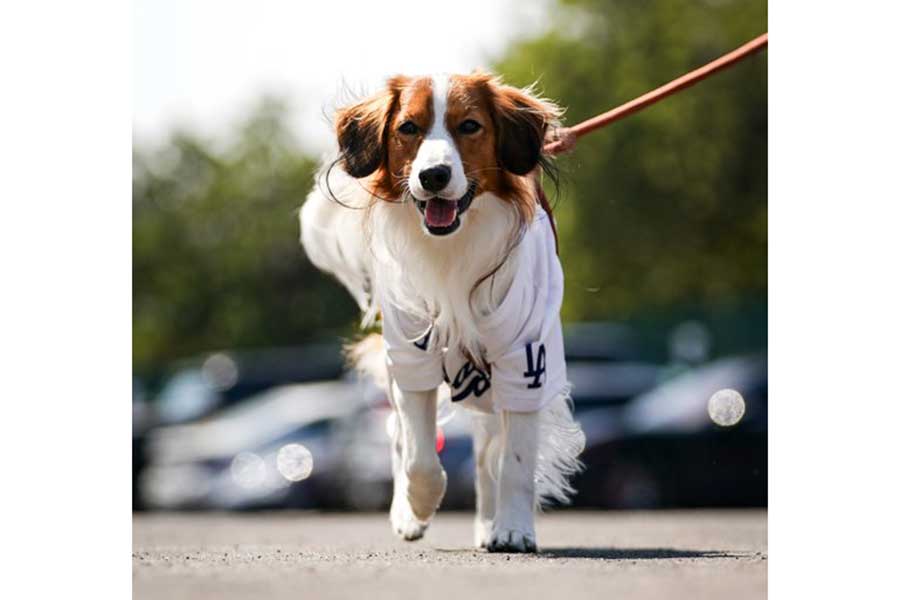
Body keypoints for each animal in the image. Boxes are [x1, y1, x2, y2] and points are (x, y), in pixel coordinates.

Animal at [298, 71, 588, 552]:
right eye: (408, 128)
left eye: (470, 126)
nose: (433, 176)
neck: (452, 246)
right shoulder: (409, 354)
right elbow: (418, 455)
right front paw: (417, 507)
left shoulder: (527, 359)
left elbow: (514, 460)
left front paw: (513, 528)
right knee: (399, 436)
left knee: (489, 454)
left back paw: (489, 525)